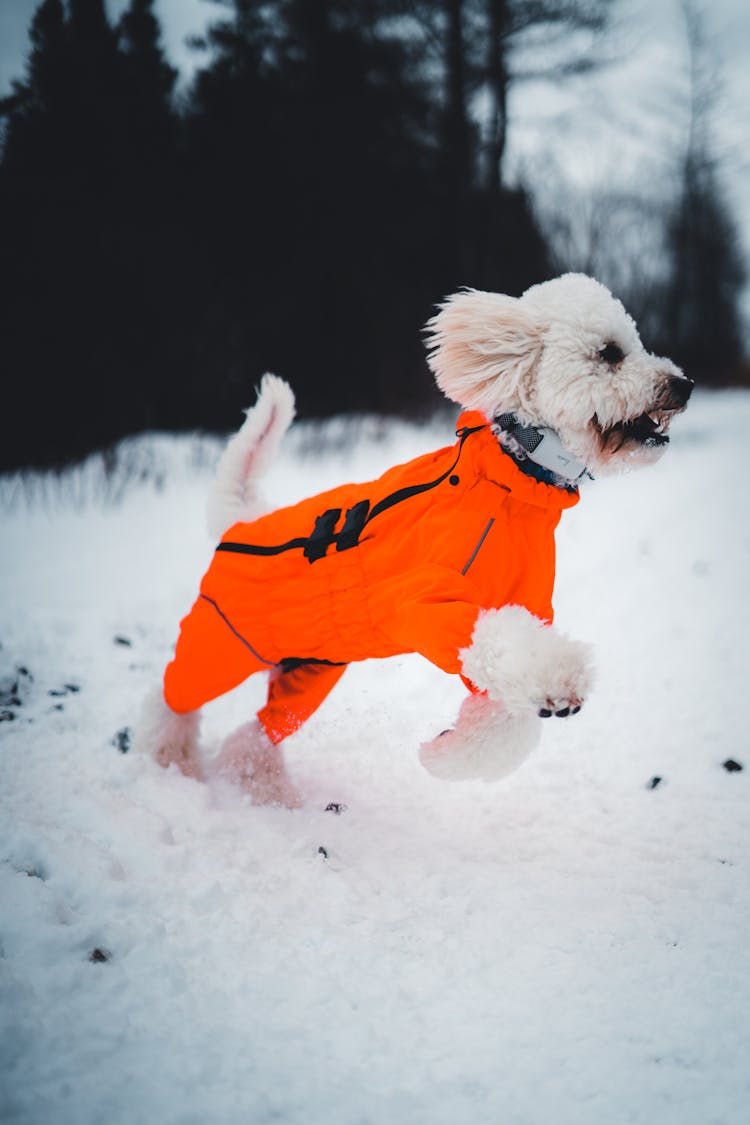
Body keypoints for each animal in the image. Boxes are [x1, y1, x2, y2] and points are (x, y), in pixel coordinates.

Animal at [133, 275, 692, 805]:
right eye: (610, 353)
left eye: (636, 344)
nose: (683, 385)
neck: (512, 481)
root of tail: (241, 522)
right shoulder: (430, 603)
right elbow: (507, 648)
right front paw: (563, 679)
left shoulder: (518, 609)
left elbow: (506, 716)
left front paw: (443, 753)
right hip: (222, 642)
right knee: (170, 701)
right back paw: (169, 766)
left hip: (307, 670)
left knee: (258, 733)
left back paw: (264, 790)